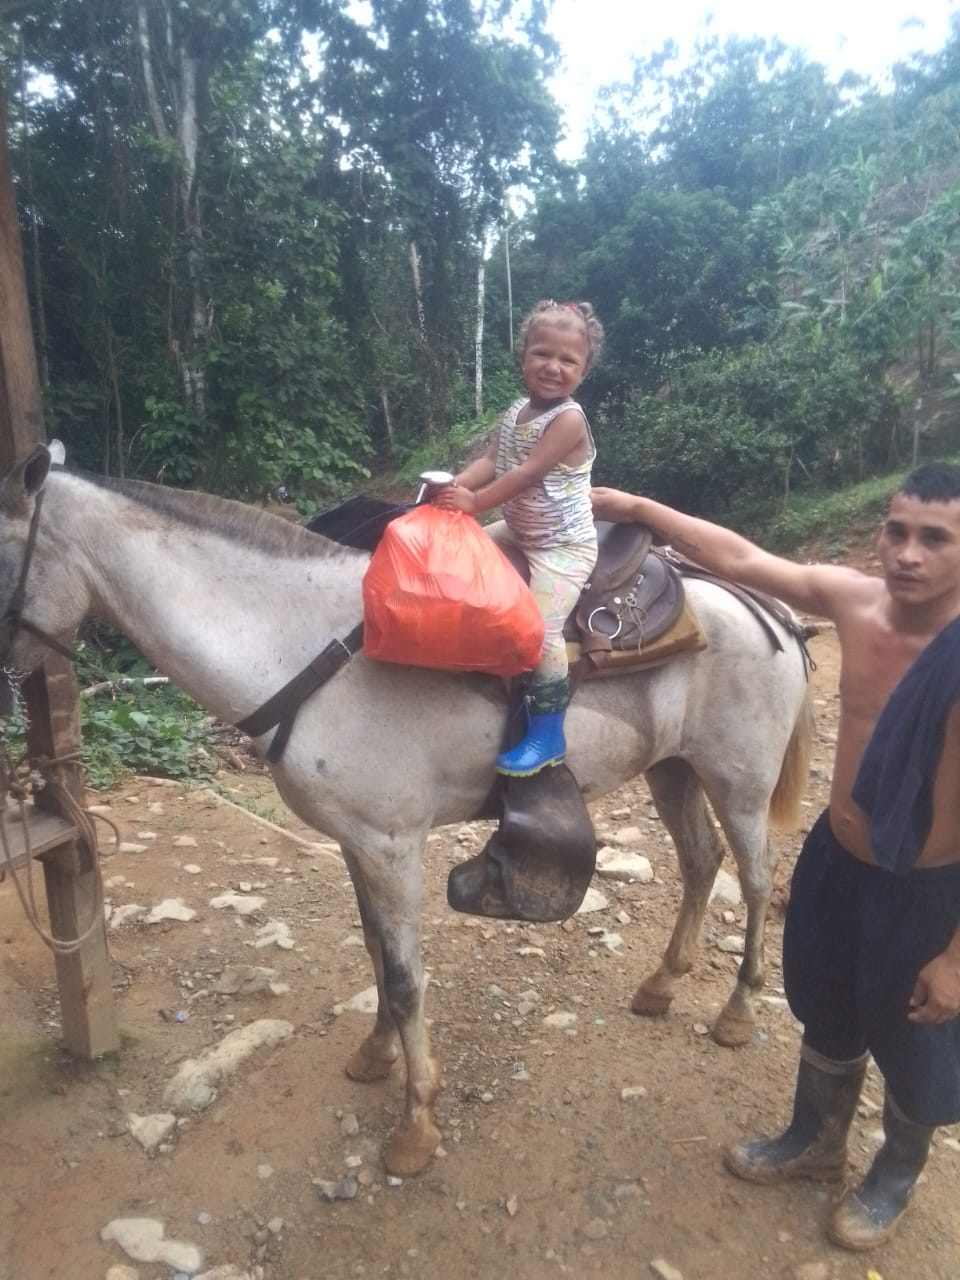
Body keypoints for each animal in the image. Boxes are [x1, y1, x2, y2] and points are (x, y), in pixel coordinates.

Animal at [0, 445, 814, 1177]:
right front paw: (375, 1055)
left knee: (755, 880)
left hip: (738, 782)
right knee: (700, 861)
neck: (299, 646)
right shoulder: (357, 842)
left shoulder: (392, 843)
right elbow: (375, 955)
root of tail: (767, 609)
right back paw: (661, 984)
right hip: (672, 770)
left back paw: (737, 1013)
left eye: (1, 557)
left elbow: (403, 976)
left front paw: (416, 1125)